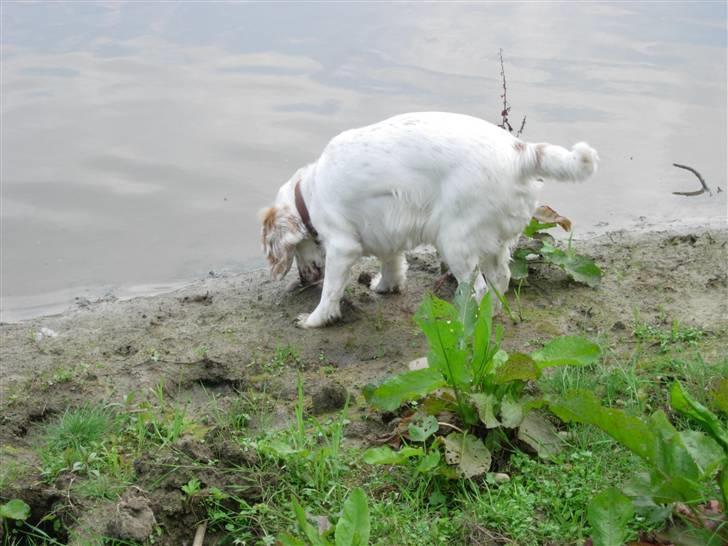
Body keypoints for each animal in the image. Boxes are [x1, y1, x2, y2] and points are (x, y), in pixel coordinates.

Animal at [260, 109, 596, 326]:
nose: (304, 280)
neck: (311, 190)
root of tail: (520, 151)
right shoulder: (386, 232)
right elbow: (393, 265)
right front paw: (385, 286)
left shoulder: (342, 248)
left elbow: (330, 291)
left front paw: (313, 319)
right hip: (494, 242)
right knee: (500, 280)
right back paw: (491, 317)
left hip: (454, 243)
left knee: (478, 288)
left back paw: (463, 322)